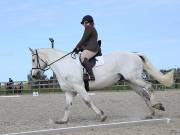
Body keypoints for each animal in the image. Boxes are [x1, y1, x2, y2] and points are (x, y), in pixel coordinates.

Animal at [29, 48, 174, 124]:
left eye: (33, 59)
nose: (35, 75)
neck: (64, 64)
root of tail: (135, 54)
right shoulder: (70, 91)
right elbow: (67, 106)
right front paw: (63, 120)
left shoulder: (79, 87)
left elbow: (87, 101)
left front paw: (102, 115)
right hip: (131, 81)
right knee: (143, 94)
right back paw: (151, 113)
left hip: (135, 78)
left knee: (149, 86)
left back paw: (157, 105)